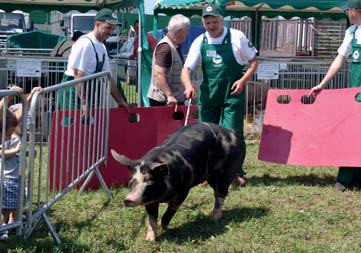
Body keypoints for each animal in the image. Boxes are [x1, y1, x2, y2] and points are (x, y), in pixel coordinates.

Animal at [111, 122, 243, 241]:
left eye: (149, 180)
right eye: (131, 181)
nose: (128, 199)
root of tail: (230, 132)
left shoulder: (182, 193)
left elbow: (168, 214)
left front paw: (163, 227)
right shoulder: (150, 200)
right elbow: (152, 219)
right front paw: (149, 239)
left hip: (226, 172)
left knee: (221, 194)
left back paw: (214, 219)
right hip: (210, 177)